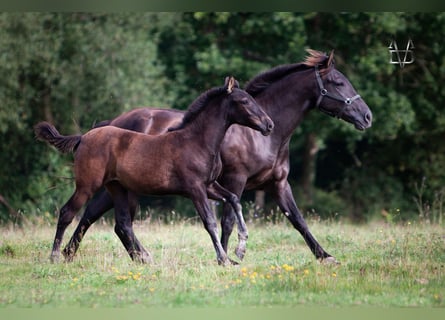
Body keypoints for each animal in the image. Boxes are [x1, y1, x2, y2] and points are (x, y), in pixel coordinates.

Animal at [35, 77, 274, 264]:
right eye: (245, 101)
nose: (269, 125)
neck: (197, 141)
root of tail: (83, 137)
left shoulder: (210, 185)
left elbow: (234, 199)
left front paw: (240, 248)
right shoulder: (195, 188)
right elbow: (210, 222)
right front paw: (223, 259)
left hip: (117, 187)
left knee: (123, 223)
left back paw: (144, 258)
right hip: (87, 185)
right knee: (67, 212)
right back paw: (55, 256)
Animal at [62, 50, 372, 264]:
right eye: (337, 82)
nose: (367, 117)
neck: (264, 137)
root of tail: (108, 124)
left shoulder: (279, 184)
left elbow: (297, 219)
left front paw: (325, 256)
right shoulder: (235, 181)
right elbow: (227, 221)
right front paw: (230, 255)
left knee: (100, 217)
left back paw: (74, 254)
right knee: (98, 216)